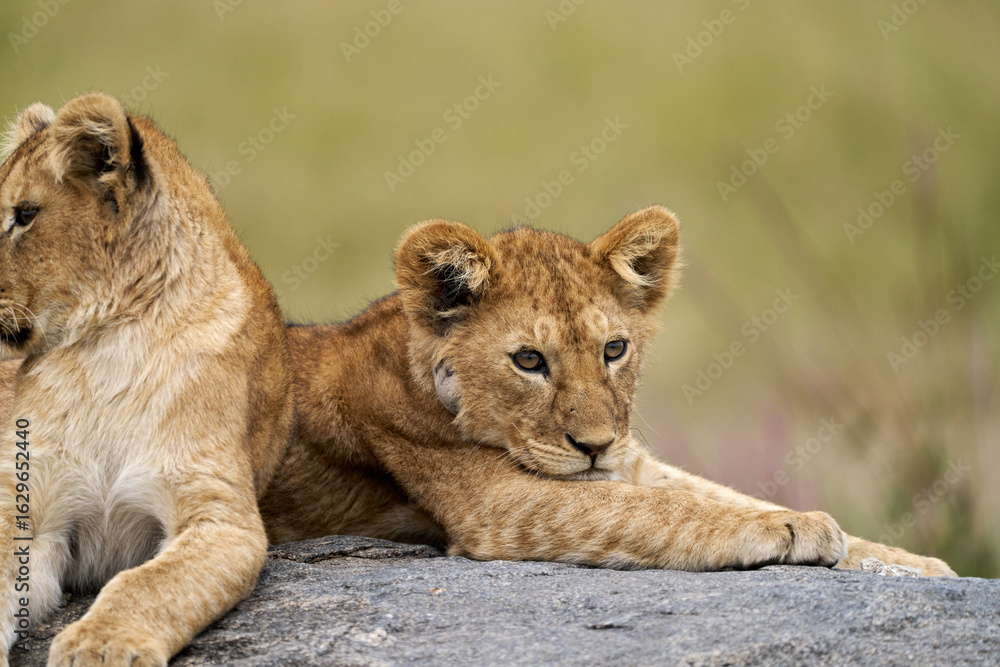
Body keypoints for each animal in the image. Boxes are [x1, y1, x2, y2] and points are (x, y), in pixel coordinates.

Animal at [0, 94, 295, 666]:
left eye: (23, 215)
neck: (107, 350)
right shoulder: (27, 502)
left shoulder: (219, 515)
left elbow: (148, 583)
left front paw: (102, 644)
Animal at [260, 206, 955, 577]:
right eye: (529, 360)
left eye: (614, 350)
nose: (593, 446)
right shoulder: (499, 505)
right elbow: (663, 510)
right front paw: (794, 525)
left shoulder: (627, 458)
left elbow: (708, 493)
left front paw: (917, 563)